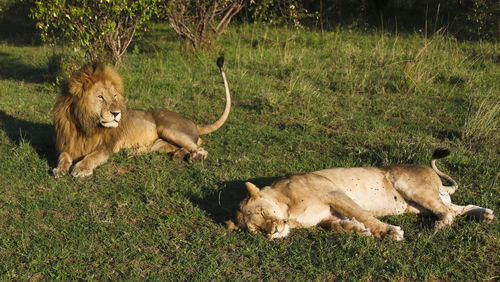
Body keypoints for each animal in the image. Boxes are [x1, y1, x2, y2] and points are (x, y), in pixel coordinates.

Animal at [51, 56, 231, 177]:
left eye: (115, 96)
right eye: (101, 97)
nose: (117, 114)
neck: (84, 124)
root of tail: (193, 122)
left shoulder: (107, 146)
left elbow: (92, 156)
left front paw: (81, 168)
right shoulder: (67, 142)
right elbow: (63, 156)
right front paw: (60, 169)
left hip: (169, 128)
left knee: (201, 149)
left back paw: (192, 158)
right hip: (159, 144)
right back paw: (176, 155)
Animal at [229, 150, 494, 240]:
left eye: (263, 212)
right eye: (256, 230)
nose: (273, 231)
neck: (288, 212)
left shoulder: (334, 193)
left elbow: (362, 214)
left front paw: (388, 232)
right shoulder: (324, 216)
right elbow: (337, 225)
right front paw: (357, 230)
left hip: (411, 188)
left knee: (448, 212)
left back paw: (441, 225)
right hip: (418, 205)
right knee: (456, 208)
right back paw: (485, 215)